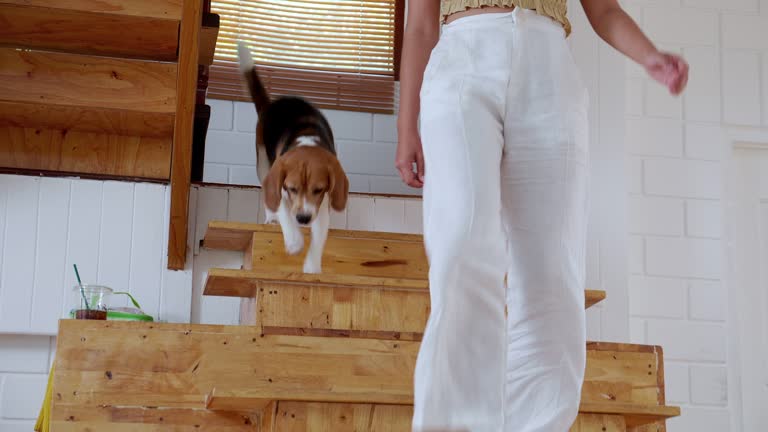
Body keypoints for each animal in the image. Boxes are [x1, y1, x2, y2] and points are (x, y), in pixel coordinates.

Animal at [237, 43, 352, 274]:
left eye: (318, 189)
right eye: (292, 188)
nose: (303, 218)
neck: (307, 141)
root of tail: (273, 104)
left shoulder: (321, 203)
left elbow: (319, 236)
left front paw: (312, 267)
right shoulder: (279, 184)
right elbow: (283, 211)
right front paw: (294, 242)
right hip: (263, 163)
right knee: (268, 196)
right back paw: (272, 219)